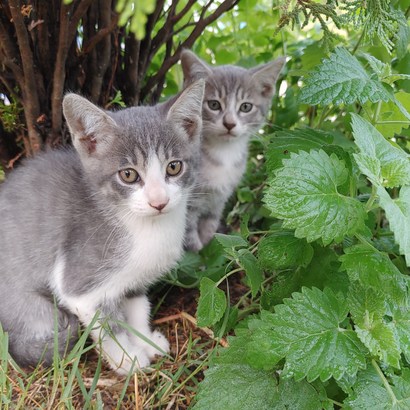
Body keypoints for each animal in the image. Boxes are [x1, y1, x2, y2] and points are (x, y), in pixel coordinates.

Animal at [0, 80, 205, 374]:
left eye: (174, 167)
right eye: (128, 174)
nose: (159, 202)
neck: (147, 229)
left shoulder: (135, 281)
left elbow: (138, 307)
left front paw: (145, 340)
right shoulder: (80, 288)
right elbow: (108, 327)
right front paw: (127, 359)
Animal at [179, 50, 286, 250]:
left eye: (245, 107)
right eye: (214, 105)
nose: (229, 123)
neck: (224, 154)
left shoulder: (218, 200)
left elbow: (210, 227)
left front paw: (213, 248)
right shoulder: (186, 202)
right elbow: (188, 237)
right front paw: (198, 254)